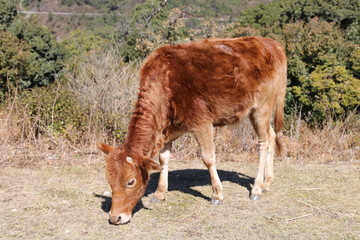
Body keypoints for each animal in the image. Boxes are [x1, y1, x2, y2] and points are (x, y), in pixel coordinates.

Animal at [96, 36, 286, 225]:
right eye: (109, 180)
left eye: (131, 182)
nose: (115, 217)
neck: (165, 82)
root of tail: (271, 42)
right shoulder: (167, 130)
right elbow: (163, 159)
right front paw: (159, 193)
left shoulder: (202, 123)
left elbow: (208, 158)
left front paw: (217, 194)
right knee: (271, 136)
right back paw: (267, 182)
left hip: (262, 107)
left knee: (263, 143)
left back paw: (256, 188)